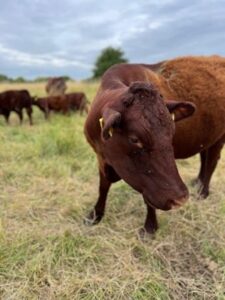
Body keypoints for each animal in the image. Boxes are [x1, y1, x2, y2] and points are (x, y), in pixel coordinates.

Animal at [84, 55, 225, 236]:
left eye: (172, 131)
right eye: (134, 139)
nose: (180, 198)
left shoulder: (149, 183)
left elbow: (148, 199)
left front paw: (150, 227)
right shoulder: (101, 158)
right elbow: (103, 187)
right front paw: (95, 215)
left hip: (220, 137)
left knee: (212, 162)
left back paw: (203, 192)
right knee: (204, 157)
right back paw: (198, 182)